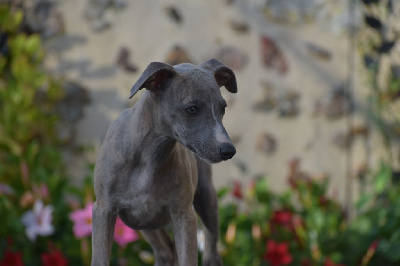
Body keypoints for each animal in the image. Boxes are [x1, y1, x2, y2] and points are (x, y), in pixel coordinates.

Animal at [90, 58, 238, 266]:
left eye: (222, 108)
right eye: (192, 109)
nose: (228, 150)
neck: (148, 158)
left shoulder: (184, 215)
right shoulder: (103, 211)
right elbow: (100, 258)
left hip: (206, 198)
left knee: (209, 251)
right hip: (144, 221)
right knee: (166, 251)